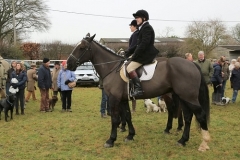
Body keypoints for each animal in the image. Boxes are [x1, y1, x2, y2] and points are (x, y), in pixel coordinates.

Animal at [67, 33, 210, 151]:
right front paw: (130, 135)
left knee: (200, 115)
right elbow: (127, 116)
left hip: (188, 97)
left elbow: (115, 119)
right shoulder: (123, 99)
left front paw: (111, 140)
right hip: (182, 97)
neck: (112, 68)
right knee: (187, 116)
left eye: (82, 47)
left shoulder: (114, 99)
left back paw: (204, 143)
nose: (68, 64)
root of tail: (192, 64)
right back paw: (182, 139)